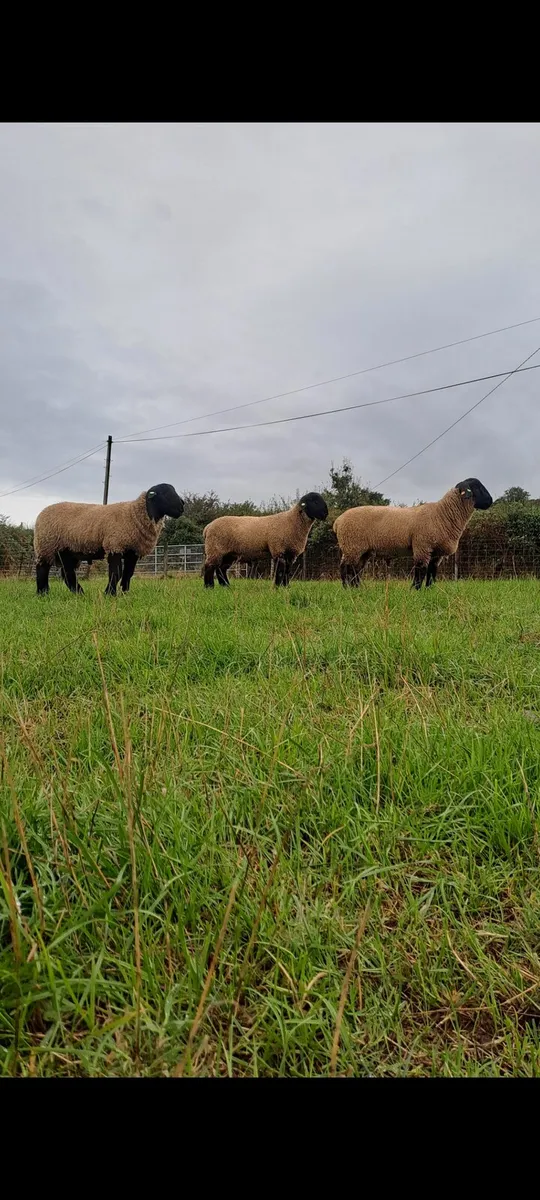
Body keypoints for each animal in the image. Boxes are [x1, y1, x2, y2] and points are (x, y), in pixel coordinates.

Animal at [34, 483, 184, 596]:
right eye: (165, 493)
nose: (182, 505)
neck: (134, 514)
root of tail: (41, 513)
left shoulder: (132, 551)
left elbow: (128, 573)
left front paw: (125, 593)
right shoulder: (115, 545)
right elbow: (116, 573)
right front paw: (110, 593)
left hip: (66, 551)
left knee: (67, 573)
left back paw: (79, 593)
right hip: (46, 546)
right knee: (42, 569)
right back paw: (43, 593)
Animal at [333, 477, 493, 590]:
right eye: (476, 487)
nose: (490, 501)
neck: (442, 514)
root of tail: (338, 521)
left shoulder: (435, 552)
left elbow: (431, 572)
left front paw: (429, 590)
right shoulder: (422, 545)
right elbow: (420, 570)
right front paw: (415, 590)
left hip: (361, 550)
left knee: (356, 569)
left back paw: (357, 588)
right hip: (352, 545)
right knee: (346, 567)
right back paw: (347, 588)